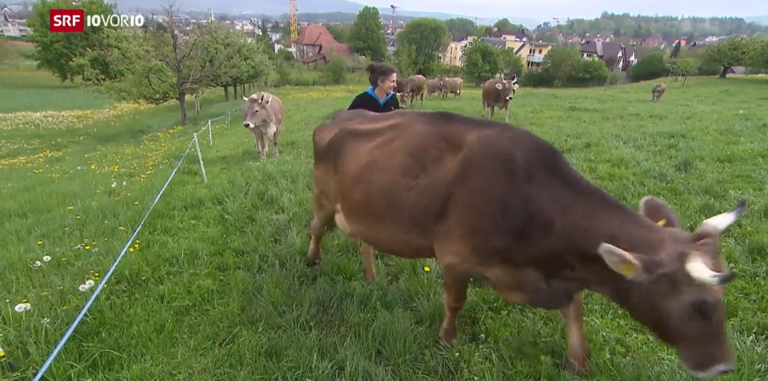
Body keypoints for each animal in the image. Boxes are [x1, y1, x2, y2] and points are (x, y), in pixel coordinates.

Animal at [306, 108, 744, 378]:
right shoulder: (457, 255)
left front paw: (579, 362)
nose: (724, 367)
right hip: (326, 199)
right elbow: (455, 302)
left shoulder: (542, 276)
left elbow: (575, 310)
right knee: (316, 227)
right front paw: (446, 341)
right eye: (699, 305)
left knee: (362, 239)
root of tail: (338, 116)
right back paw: (312, 261)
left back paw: (370, 277)